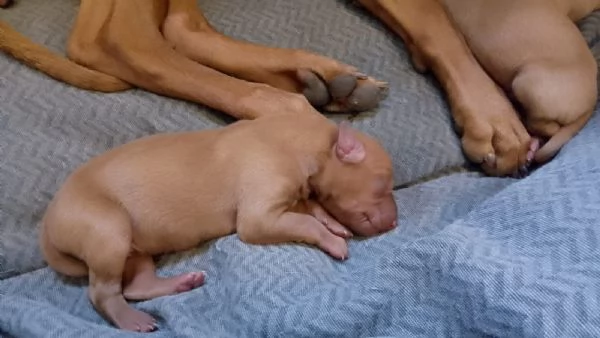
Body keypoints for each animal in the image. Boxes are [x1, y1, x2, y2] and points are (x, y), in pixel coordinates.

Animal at [0, 0, 596, 173]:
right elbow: (434, 19)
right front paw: (494, 121)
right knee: (118, 38)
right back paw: (288, 105)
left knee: (174, 27)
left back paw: (321, 81)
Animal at [41, 113, 398, 332]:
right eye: (382, 185)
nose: (395, 224)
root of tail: (47, 228)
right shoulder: (260, 218)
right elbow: (305, 223)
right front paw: (333, 240)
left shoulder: (292, 197)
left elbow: (310, 209)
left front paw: (333, 223)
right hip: (109, 230)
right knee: (103, 293)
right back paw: (130, 319)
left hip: (134, 247)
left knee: (137, 284)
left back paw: (179, 284)